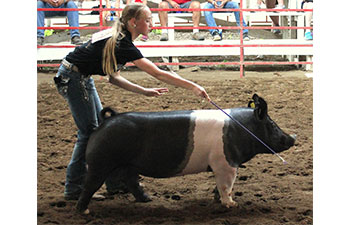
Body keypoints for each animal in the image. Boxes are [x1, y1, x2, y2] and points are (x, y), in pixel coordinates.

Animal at [76, 94, 296, 214]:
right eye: (272, 124)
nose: (293, 137)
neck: (242, 129)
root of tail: (105, 121)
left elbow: (220, 186)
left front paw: (217, 200)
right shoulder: (226, 164)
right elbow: (227, 186)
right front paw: (232, 205)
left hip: (127, 164)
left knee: (130, 181)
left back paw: (147, 199)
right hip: (100, 163)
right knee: (89, 185)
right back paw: (84, 210)